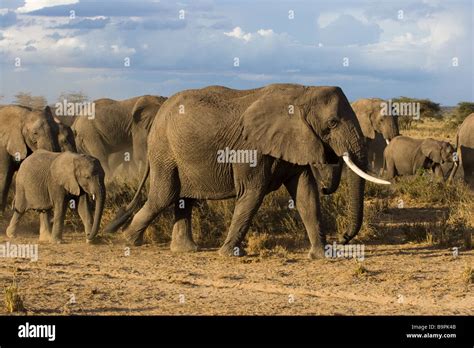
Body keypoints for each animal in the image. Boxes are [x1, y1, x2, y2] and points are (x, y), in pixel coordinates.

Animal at [105, 84, 390, 258]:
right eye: (332, 123)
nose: (342, 238)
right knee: (163, 196)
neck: (302, 92)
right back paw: (128, 241)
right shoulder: (251, 148)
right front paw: (227, 253)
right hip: (164, 150)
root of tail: (160, 112)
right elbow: (252, 193)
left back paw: (184, 250)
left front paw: (322, 255)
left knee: (184, 198)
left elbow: (306, 196)